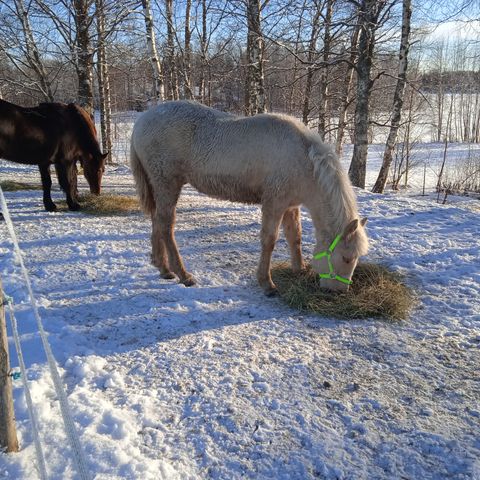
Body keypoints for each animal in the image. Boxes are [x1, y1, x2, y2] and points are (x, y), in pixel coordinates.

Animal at [129, 101, 370, 294]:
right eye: (347, 258)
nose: (339, 291)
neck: (304, 159)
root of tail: (142, 120)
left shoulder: (291, 206)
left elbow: (295, 238)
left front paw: (299, 269)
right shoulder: (274, 203)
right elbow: (269, 241)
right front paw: (267, 283)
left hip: (160, 185)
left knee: (157, 220)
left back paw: (163, 268)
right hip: (167, 183)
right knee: (165, 225)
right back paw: (183, 274)